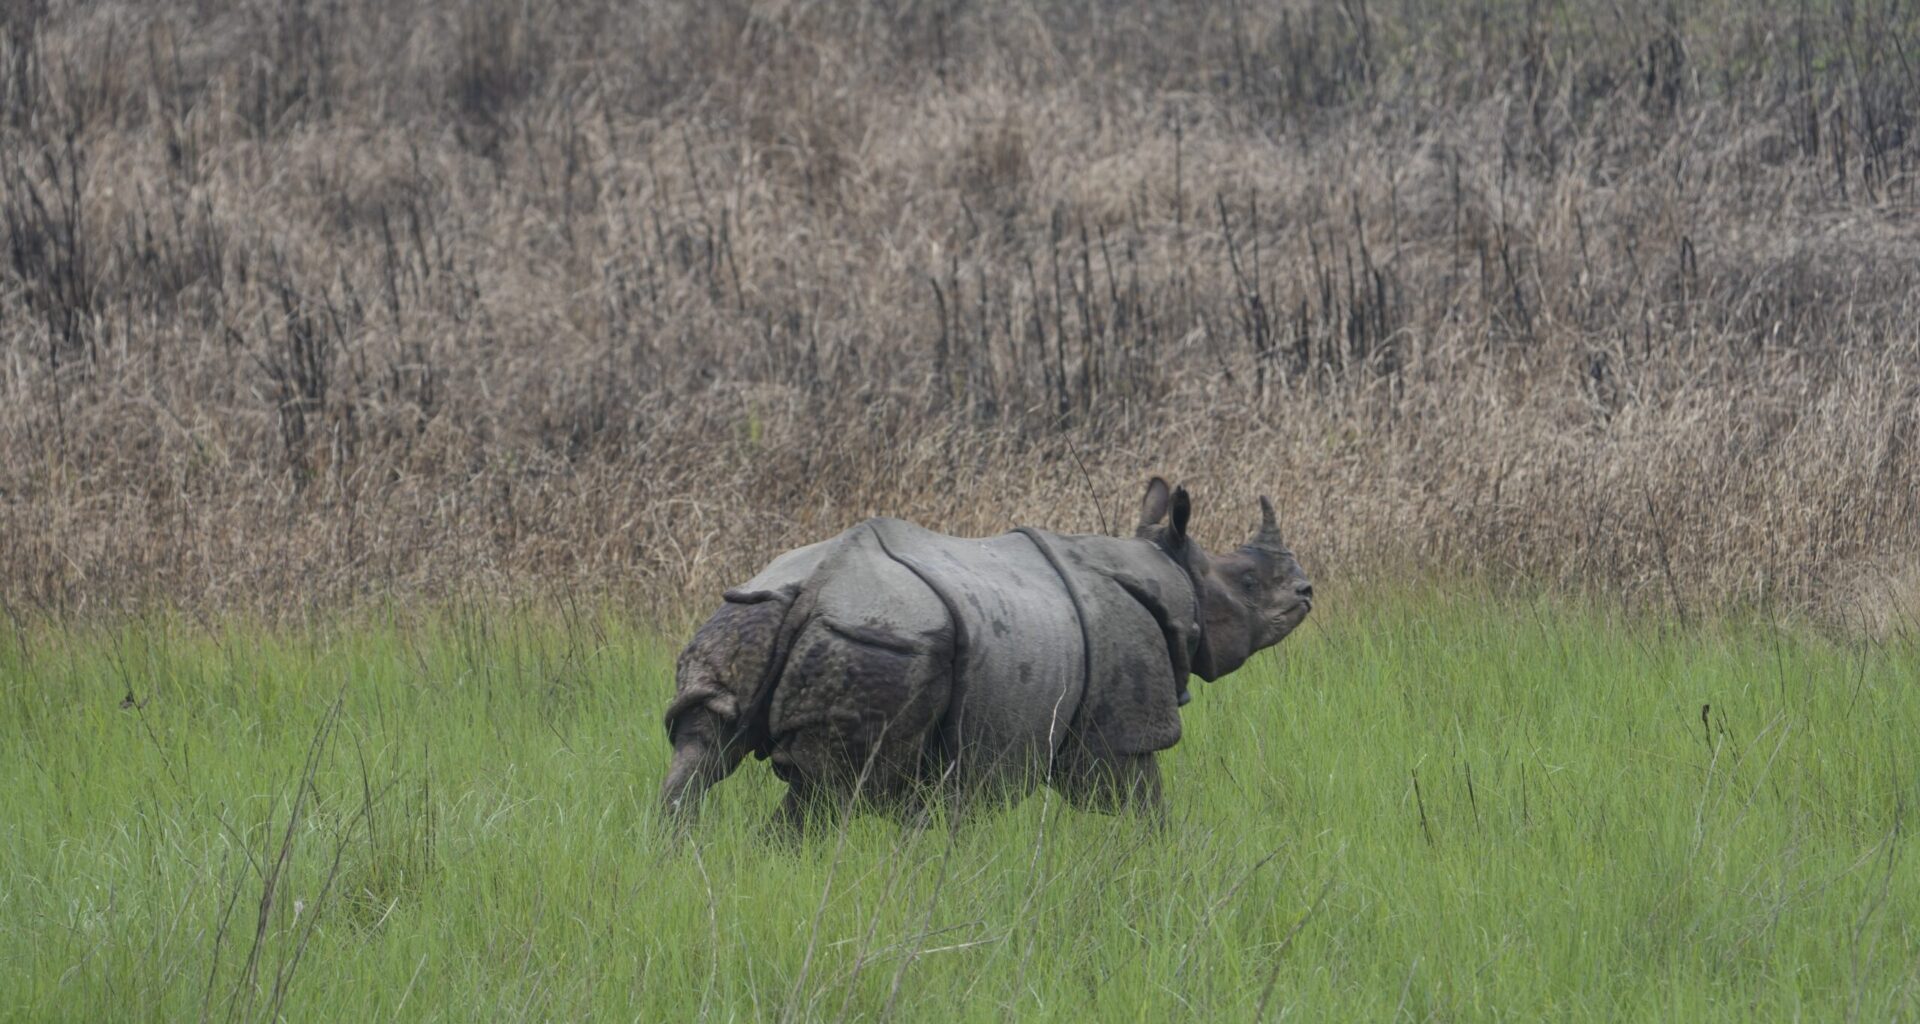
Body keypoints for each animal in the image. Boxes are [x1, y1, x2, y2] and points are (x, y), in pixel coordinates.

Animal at [660, 477, 1312, 834]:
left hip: (748, 612)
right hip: (873, 640)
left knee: (703, 749)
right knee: (831, 789)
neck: (1174, 575)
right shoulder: (1119, 728)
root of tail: (816, 589)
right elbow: (1137, 804)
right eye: (1248, 583)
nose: (1306, 590)